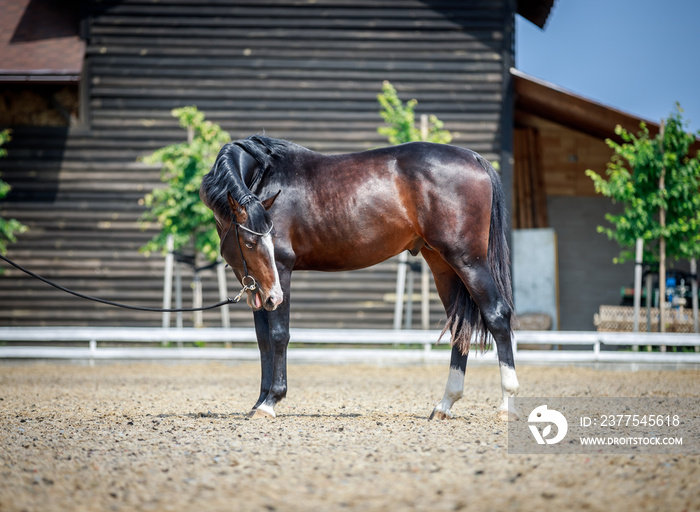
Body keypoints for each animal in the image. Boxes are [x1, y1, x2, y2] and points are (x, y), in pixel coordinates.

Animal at [200, 136, 516, 420]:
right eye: (250, 242)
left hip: (467, 260)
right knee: (459, 326)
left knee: (497, 315)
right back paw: (445, 405)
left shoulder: (282, 269)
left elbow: (279, 334)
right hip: (442, 264)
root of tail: (474, 158)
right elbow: (263, 339)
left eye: (268, 237)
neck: (263, 173)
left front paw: (270, 401)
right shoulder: (259, 286)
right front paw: (259, 402)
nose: (274, 297)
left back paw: (506, 404)